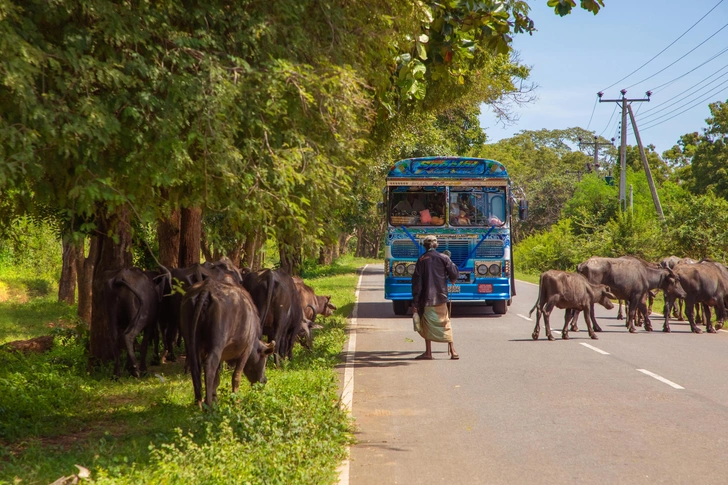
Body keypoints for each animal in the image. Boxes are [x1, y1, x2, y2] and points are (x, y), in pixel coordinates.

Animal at [181, 274, 274, 406]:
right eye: (264, 359)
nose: (264, 380)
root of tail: (206, 288)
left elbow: (217, 378)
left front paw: (215, 396)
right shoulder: (246, 351)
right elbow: (236, 376)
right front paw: (236, 399)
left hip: (191, 342)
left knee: (195, 366)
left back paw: (198, 401)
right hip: (217, 344)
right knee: (210, 365)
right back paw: (208, 404)